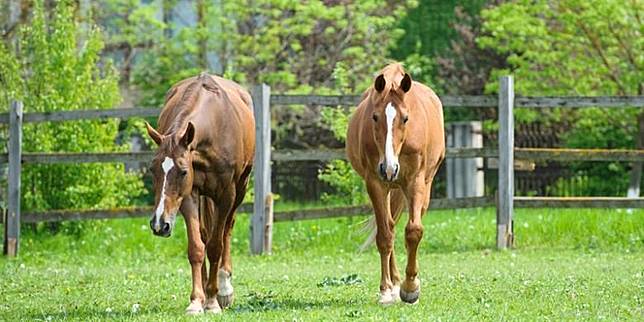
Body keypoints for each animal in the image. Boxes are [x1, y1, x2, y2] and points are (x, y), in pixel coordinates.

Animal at [147, 73, 256, 314]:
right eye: (152, 169)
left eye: (183, 171)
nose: (159, 224)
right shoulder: (189, 195)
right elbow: (197, 247)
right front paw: (197, 300)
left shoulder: (226, 195)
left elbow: (216, 246)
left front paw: (215, 300)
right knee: (206, 234)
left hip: (240, 189)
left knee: (226, 231)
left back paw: (223, 289)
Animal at [348, 63, 442, 304]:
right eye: (374, 117)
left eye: (406, 118)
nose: (389, 168)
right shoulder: (375, 183)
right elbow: (384, 237)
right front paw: (386, 290)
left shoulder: (415, 182)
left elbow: (414, 231)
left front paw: (411, 288)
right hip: (388, 188)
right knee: (388, 228)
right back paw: (394, 283)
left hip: (422, 187)